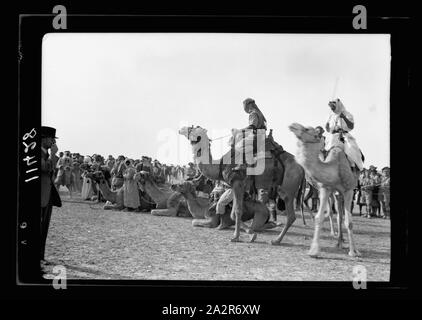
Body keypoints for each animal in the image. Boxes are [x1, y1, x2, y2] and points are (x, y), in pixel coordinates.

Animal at [290, 122, 360, 258]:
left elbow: (349, 222)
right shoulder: (325, 189)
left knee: (342, 215)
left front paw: (353, 252)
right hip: (336, 193)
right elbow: (319, 217)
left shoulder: (349, 190)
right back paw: (339, 242)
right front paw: (313, 251)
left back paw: (348, 245)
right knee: (339, 214)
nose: (292, 125)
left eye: (307, 129)